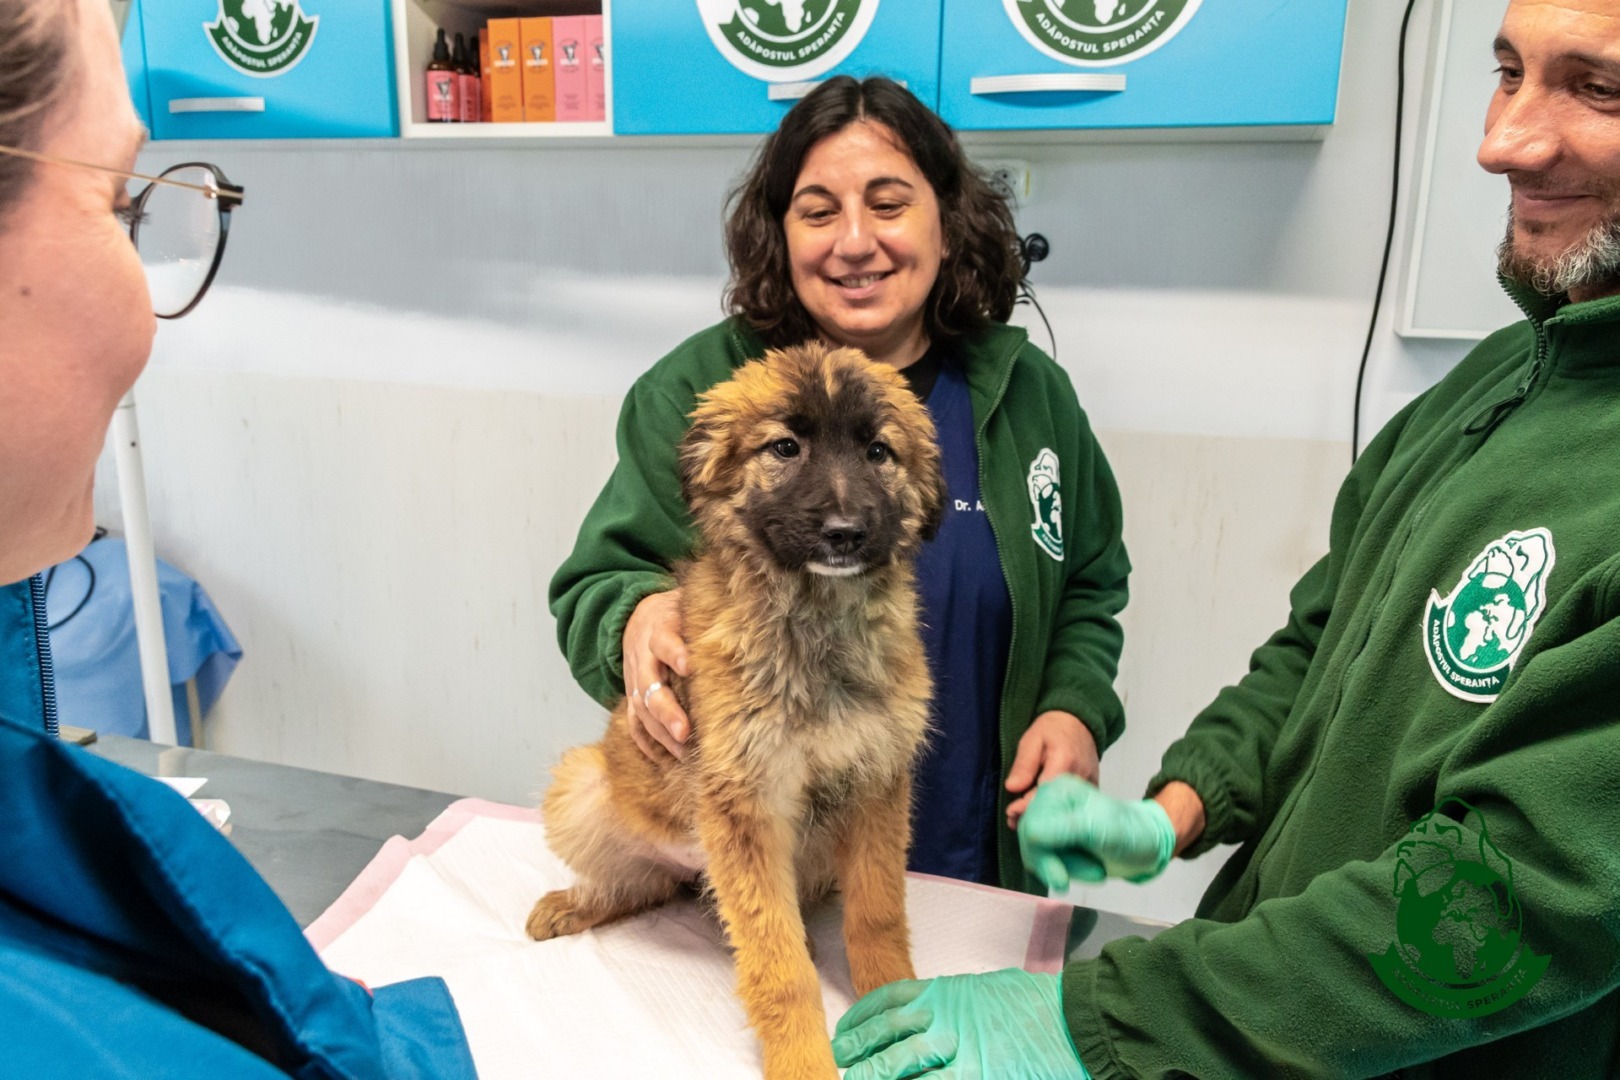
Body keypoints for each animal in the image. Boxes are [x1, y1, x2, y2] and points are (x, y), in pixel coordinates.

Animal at [527, 341, 945, 1080]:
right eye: (785, 447)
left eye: (878, 451)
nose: (845, 533)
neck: (819, 629)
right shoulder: (744, 808)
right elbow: (779, 969)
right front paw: (804, 1063)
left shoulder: (876, 786)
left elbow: (877, 918)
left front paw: (895, 1009)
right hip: (585, 786)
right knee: (636, 885)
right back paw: (573, 904)